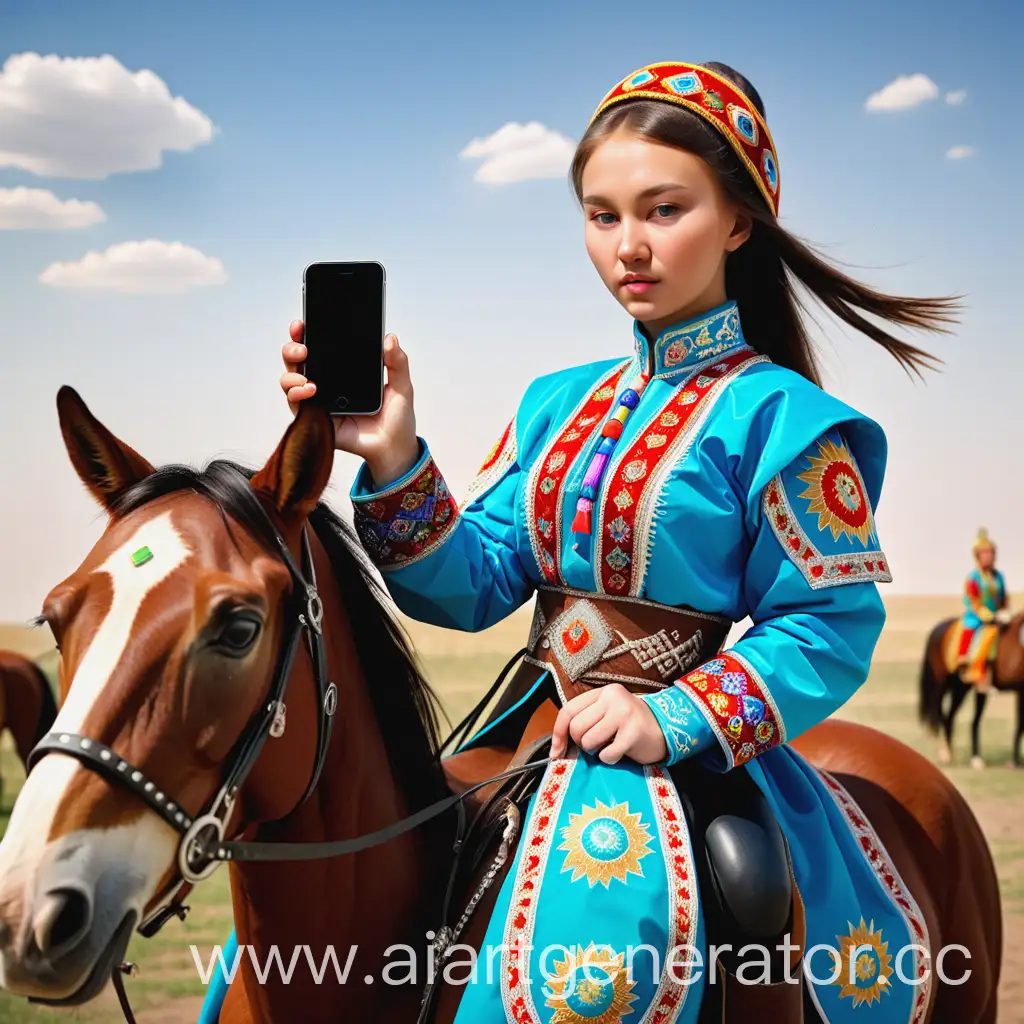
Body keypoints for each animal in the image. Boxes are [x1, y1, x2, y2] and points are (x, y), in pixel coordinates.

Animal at [921, 614, 1024, 770]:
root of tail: (940, 627)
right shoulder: (1021, 689)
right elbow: (1020, 725)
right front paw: (1016, 762)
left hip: (962, 687)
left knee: (958, 718)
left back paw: (971, 758)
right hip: (941, 684)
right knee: (941, 714)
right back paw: (947, 754)